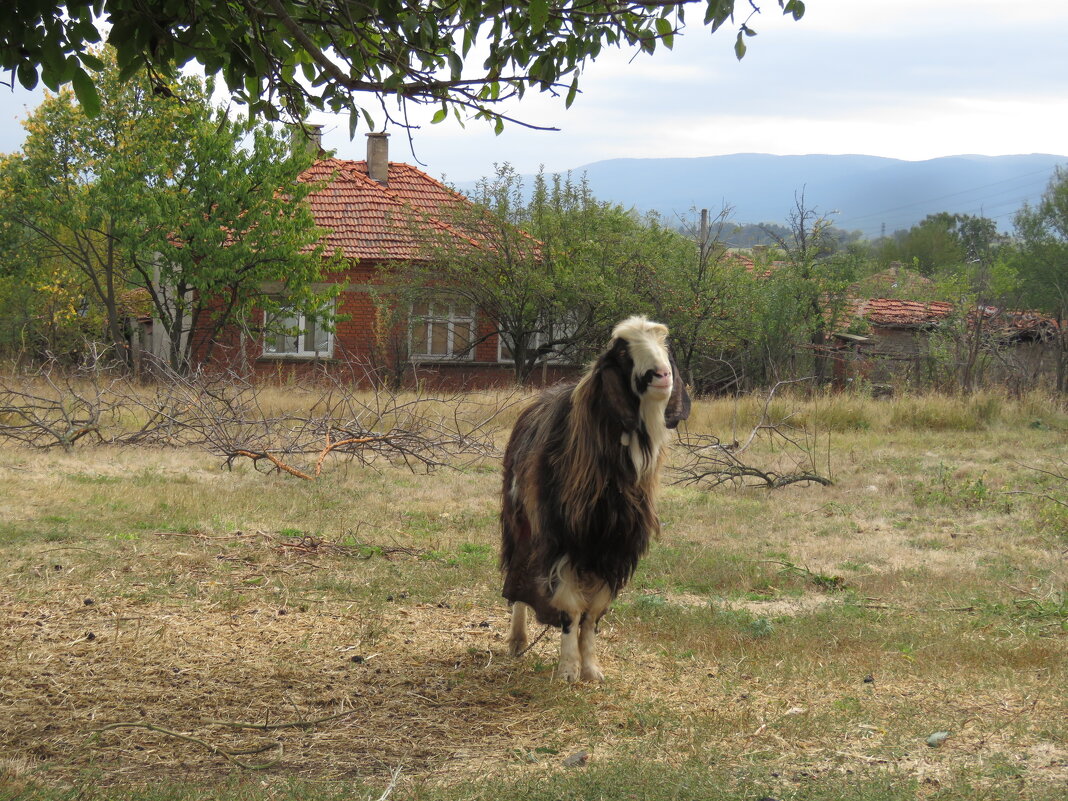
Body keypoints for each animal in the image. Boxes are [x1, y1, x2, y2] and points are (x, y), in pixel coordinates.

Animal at [499, 316, 692, 679]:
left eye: (666, 345)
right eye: (622, 351)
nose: (662, 376)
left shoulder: (614, 549)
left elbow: (592, 614)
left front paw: (590, 669)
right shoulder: (562, 543)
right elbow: (571, 611)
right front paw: (567, 670)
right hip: (519, 522)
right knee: (517, 578)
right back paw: (517, 641)